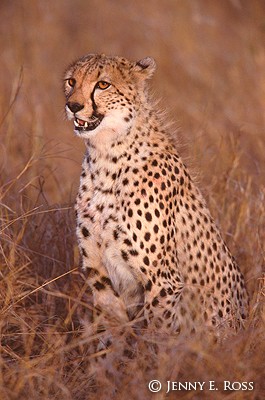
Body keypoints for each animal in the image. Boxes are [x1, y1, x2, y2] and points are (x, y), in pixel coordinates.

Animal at [63, 53, 248, 334]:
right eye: (71, 81)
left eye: (103, 84)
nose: (73, 105)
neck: (105, 156)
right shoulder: (100, 276)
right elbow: (114, 334)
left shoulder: (164, 281)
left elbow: (156, 336)